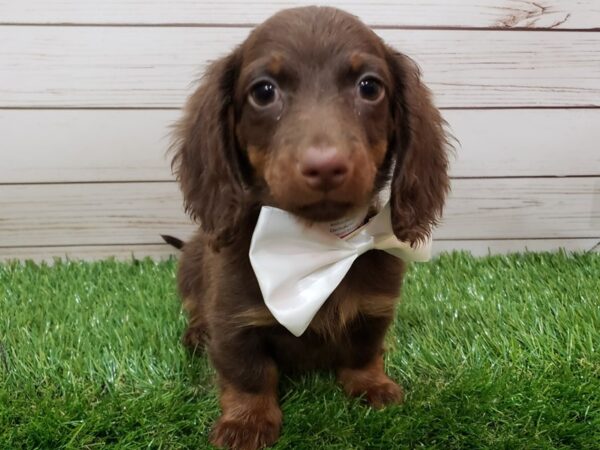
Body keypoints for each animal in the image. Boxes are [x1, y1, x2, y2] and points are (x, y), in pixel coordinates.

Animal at [171, 7, 448, 450]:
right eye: (263, 92)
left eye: (369, 86)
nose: (326, 166)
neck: (318, 244)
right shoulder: (233, 320)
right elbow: (248, 371)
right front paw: (247, 421)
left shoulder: (376, 308)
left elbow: (364, 350)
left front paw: (372, 385)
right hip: (193, 261)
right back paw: (197, 334)